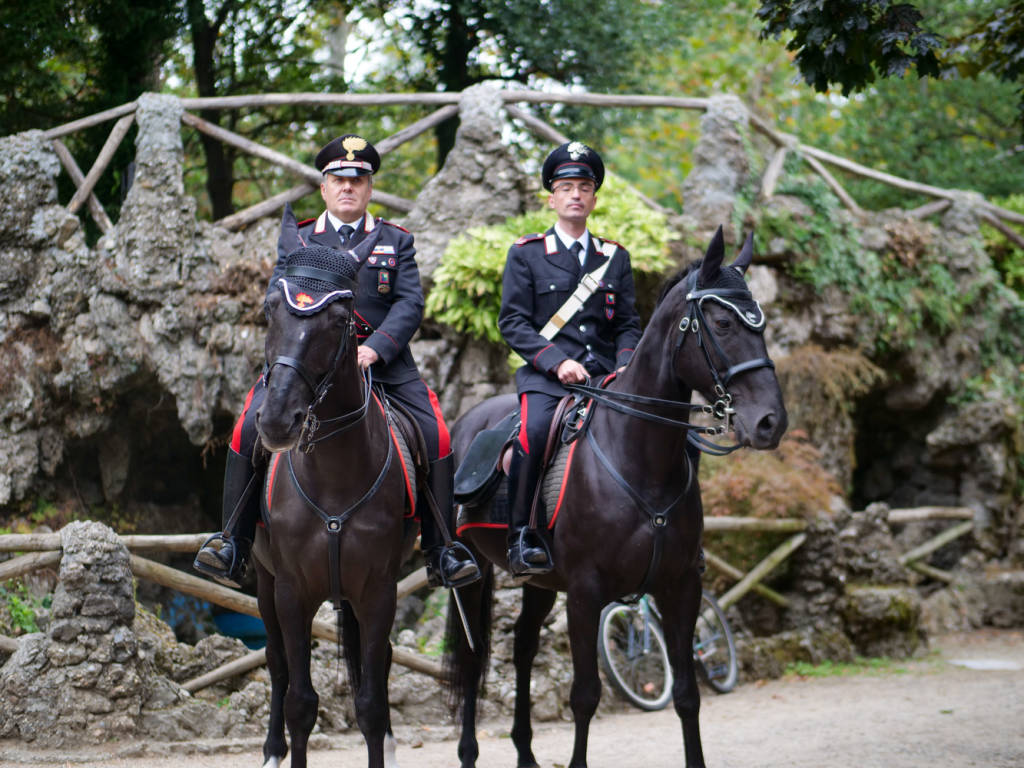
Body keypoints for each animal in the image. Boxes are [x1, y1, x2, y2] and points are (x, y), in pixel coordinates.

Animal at [252, 244, 415, 768]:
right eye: (270, 310)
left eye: (340, 320)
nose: (277, 420)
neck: (334, 476)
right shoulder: (291, 591)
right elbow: (300, 702)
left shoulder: (379, 590)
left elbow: (370, 704)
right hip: (262, 582)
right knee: (277, 664)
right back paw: (271, 751)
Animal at [444, 228, 786, 768]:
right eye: (724, 323)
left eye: (762, 324)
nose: (771, 422)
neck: (640, 458)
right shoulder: (586, 592)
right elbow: (585, 696)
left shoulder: (681, 586)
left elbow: (688, 694)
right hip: (474, 571)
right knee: (476, 656)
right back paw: (469, 752)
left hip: (541, 583)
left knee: (522, 648)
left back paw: (525, 753)